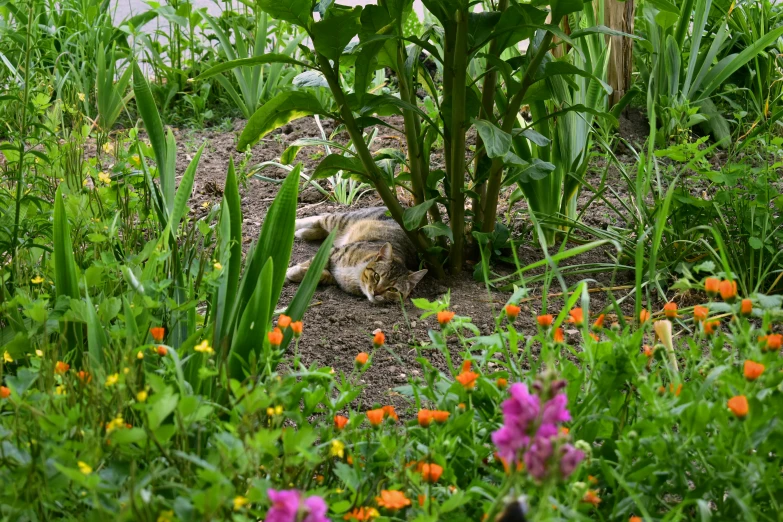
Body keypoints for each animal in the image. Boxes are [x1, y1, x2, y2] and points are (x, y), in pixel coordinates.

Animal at [284, 206, 426, 302]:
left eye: (393, 289)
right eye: (377, 276)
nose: (376, 292)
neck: (357, 275)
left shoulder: (336, 278)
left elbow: (321, 275)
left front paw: (295, 273)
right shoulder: (334, 252)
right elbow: (313, 263)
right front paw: (288, 271)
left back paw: (304, 233)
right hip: (343, 220)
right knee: (321, 217)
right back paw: (295, 224)